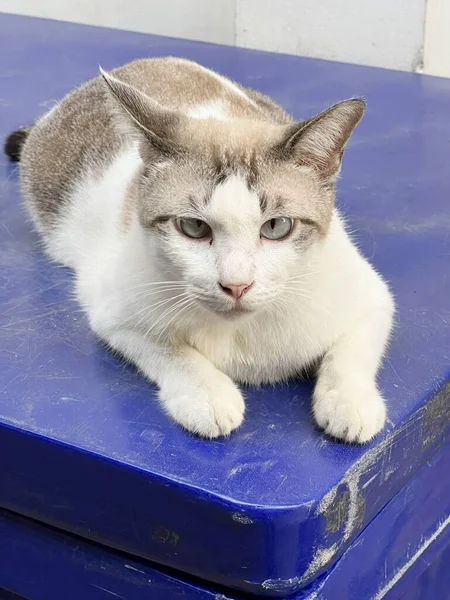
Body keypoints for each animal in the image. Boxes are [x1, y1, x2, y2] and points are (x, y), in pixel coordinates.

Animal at [6, 57, 394, 440]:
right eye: (193, 227)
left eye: (276, 227)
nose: (236, 285)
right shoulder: (114, 311)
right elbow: (171, 349)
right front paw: (208, 395)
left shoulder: (372, 297)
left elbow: (350, 352)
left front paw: (349, 402)